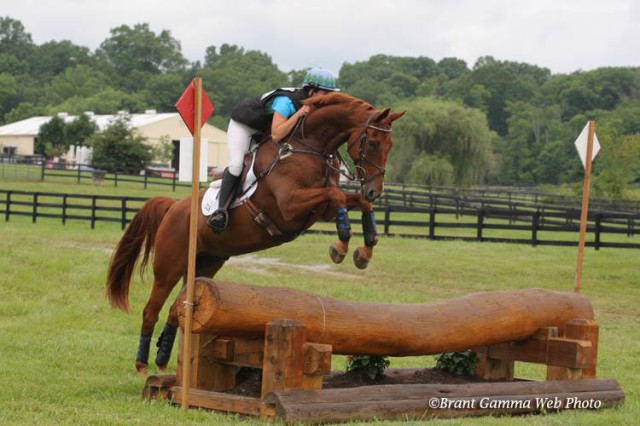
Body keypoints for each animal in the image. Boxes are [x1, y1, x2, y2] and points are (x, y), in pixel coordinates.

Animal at [107, 92, 402, 372]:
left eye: (390, 146)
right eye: (373, 143)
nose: (375, 190)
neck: (308, 147)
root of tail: (173, 207)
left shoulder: (320, 211)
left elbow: (355, 202)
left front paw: (365, 250)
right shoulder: (291, 205)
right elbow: (337, 195)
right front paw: (340, 247)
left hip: (206, 264)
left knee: (175, 310)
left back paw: (161, 361)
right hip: (170, 266)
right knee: (151, 310)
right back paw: (142, 365)